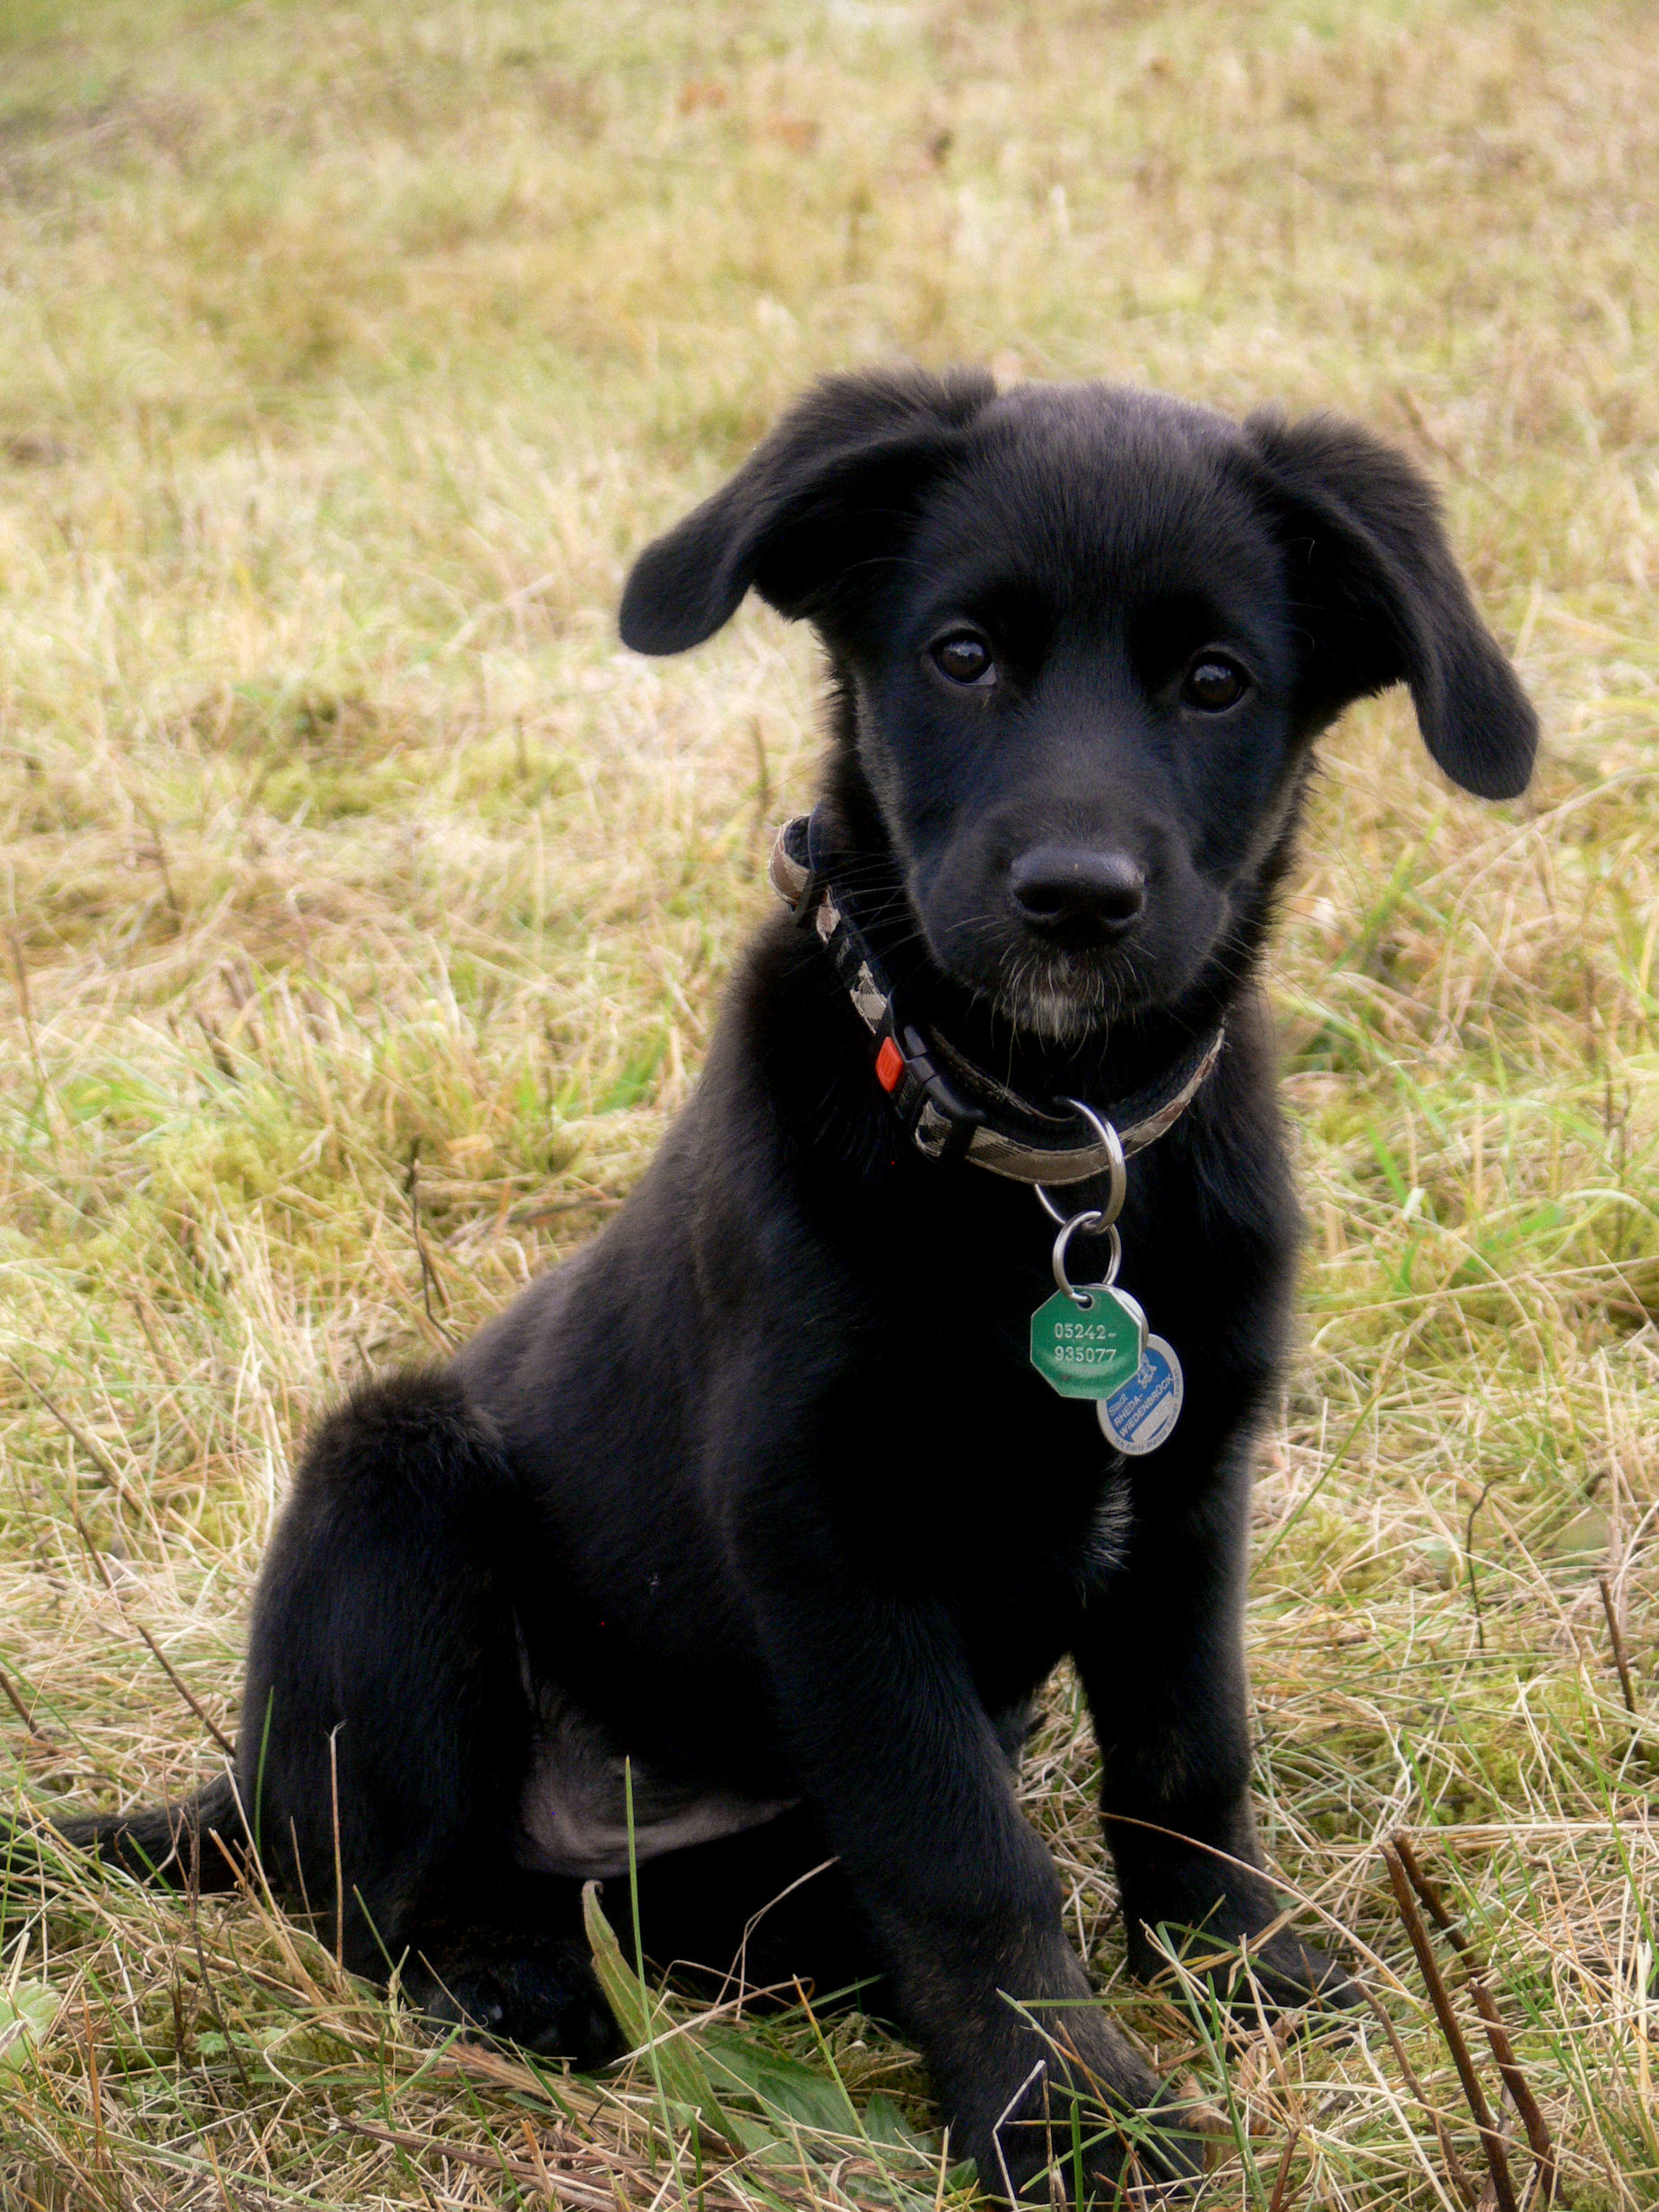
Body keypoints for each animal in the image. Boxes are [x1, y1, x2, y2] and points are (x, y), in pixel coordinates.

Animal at [65, 371, 1548, 2203]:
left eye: (1216, 682)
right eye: (962, 655)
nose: (1075, 897)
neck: (1053, 1162)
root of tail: (238, 1788)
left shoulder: (1192, 1495)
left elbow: (1186, 1761)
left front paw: (1244, 1971)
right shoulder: (834, 1541)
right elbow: (967, 1856)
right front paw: (1065, 2114)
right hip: (393, 1486)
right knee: (378, 1897)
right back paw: (516, 1984)